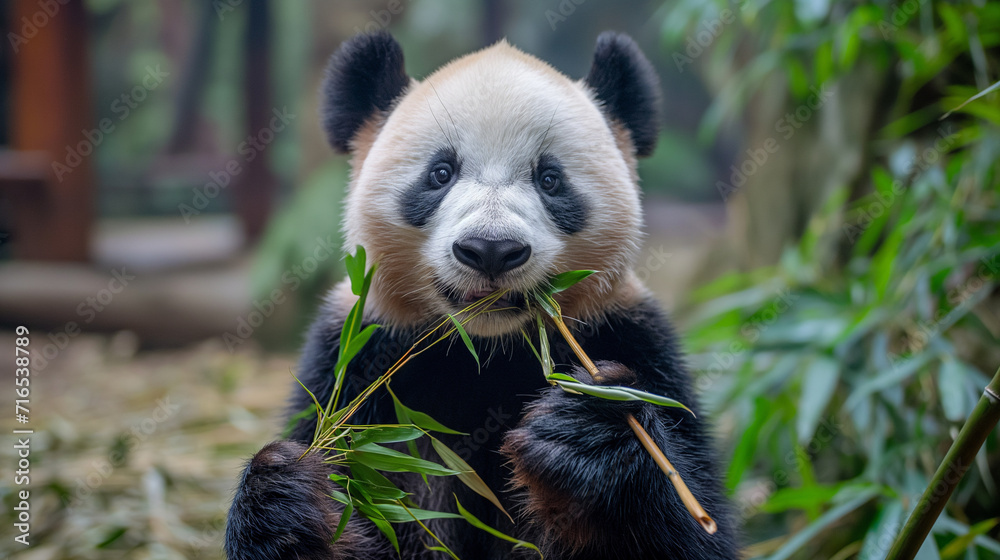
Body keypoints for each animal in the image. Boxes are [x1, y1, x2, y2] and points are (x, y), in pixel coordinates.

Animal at [225, 31, 738, 560]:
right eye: (440, 173)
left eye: (550, 179)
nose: (491, 249)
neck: (486, 351)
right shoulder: (361, 360)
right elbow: (363, 497)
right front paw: (286, 500)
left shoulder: (632, 337)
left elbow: (691, 526)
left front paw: (588, 433)